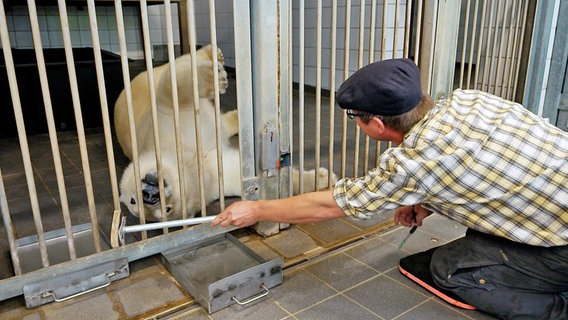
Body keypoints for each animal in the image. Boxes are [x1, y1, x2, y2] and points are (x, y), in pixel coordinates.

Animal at [116, 45, 338, 221]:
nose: (150, 195)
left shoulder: (160, 126)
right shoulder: (212, 176)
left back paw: (213, 55)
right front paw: (323, 177)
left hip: (143, 83)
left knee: (172, 68)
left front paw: (216, 77)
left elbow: (173, 92)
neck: (187, 159)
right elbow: (243, 178)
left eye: (133, 199)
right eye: (167, 210)